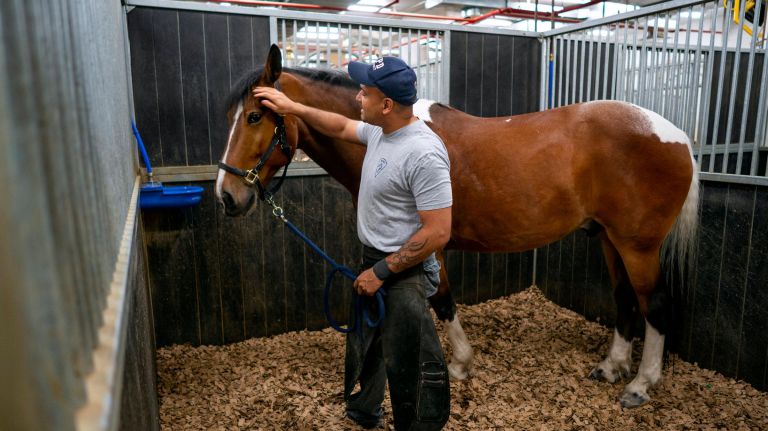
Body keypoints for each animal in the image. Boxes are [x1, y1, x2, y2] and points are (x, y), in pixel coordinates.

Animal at [215, 44, 699, 408]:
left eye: (255, 117)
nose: (226, 196)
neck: (397, 135)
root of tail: (676, 135)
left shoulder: (427, 241)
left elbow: (443, 300)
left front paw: (459, 364)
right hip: (610, 240)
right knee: (625, 300)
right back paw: (612, 367)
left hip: (638, 245)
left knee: (654, 304)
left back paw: (640, 385)